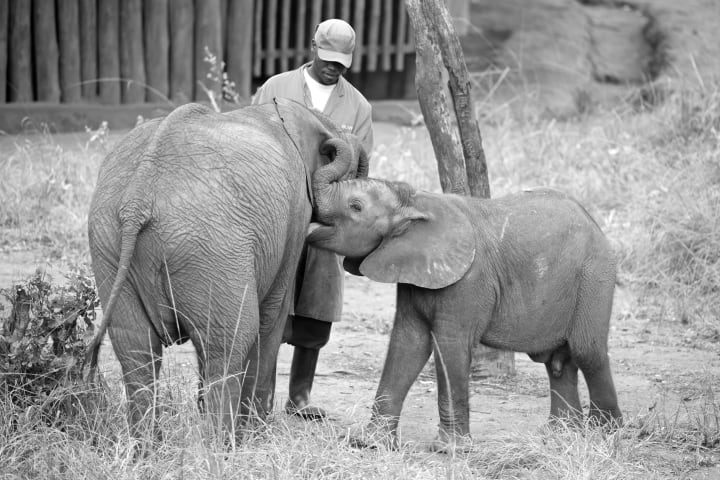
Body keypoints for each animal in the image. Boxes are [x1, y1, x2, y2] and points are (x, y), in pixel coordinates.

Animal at [86, 98, 367, 442]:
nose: (338, 143)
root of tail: (137, 199)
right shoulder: (294, 216)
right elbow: (272, 317)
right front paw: (258, 432)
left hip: (110, 244)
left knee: (136, 347)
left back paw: (147, 445)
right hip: (211, 247)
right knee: (229, 342)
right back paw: (222, 444)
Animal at [306, 160, 622, 451]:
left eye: (355, 206)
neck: (414, 200)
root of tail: (595, 224)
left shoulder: (468, 280)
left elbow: (449, 346)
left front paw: (450, 450)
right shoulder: (413, 274)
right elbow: (407, 343)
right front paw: (369, 443)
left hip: (595, 274)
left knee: (587, 352)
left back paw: (605, 433)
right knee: (558, 362)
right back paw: (561, 436)